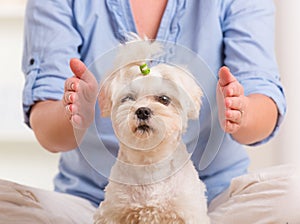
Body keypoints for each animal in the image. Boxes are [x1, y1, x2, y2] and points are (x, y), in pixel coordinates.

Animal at [93, 40, 209, 224]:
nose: (142, 111)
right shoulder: (113, 212)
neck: (149, 163)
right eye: (128, 99)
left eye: (164, 99)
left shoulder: (188, 212)